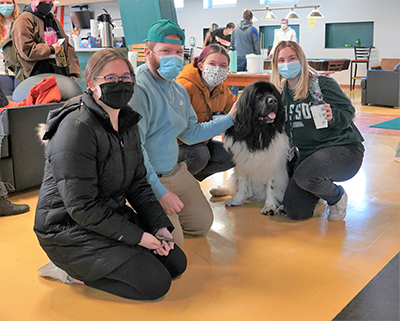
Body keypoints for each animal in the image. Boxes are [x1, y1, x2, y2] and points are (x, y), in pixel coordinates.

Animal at [209, 80, 290, 215]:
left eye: (273, 94)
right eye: (258, 95)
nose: (273, 101)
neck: (258, 131)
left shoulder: (272, 161)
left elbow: (271, 186)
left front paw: (270, 206)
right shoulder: (242, 160)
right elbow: (241, 182)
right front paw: (237, 199)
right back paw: (218, 190)